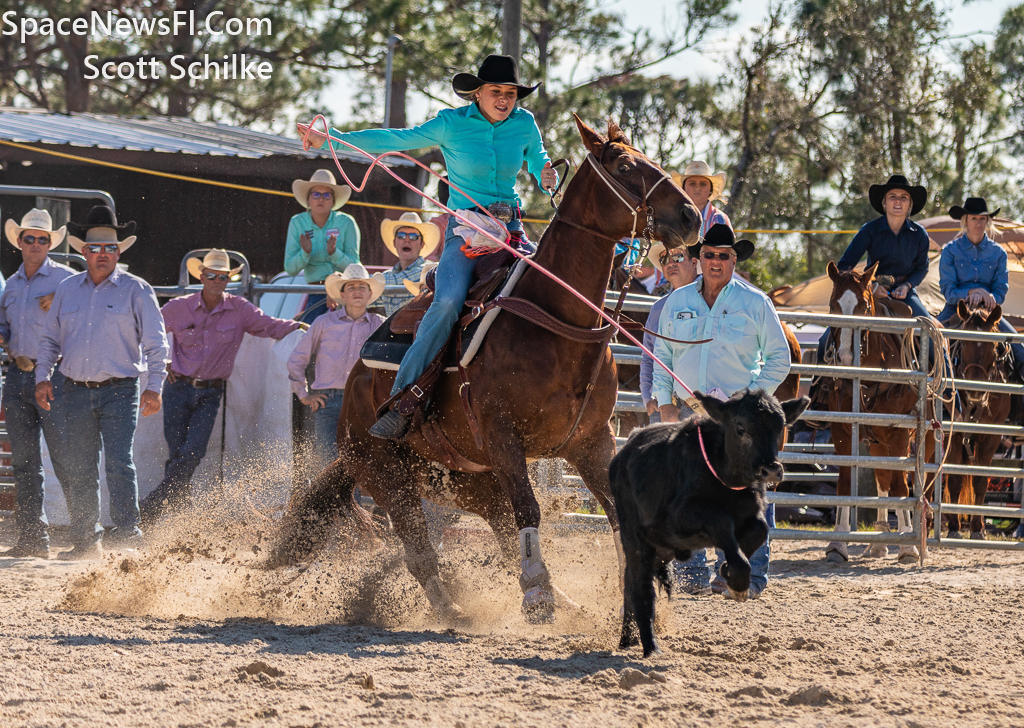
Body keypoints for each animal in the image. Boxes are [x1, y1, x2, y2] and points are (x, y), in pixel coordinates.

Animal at [270, 118, 704, 622]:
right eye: (625, 166)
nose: (691, 217)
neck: (557, 321)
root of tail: (355, 386)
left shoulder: (591, 442)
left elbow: (615, 512)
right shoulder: (503, 436)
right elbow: (531, 510)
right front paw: (536, 598)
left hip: (470, 481)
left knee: (499, 536)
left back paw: (567, 603)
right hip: (388, 475)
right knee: (420, 551)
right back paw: (455, 611)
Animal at [606, 391, 806, 659]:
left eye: (780, 427)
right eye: (740, 428)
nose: (771, 470)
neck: (725, 478)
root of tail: (623, 454)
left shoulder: (751, 513)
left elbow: (759, 530)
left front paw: (727, 569)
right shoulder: (679, 518)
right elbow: (719, 520)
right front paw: (737, 579)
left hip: (661, 550)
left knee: (629, 584)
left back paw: (627, 639)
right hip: (636, 539)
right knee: (641, 590)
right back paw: (651, 648)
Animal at [823, 262, 921, 565]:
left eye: (865, 306)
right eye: (832, 305)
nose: (844, 357)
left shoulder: (900, 434)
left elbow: (902, 488)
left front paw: (908, 547)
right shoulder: (842, 431)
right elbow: (845, 486)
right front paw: (837, 544)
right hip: (877, 441)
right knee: (882, 478)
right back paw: (879, 542)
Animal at [937, 301, 1011, 540]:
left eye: (995, 347)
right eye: (963, 342)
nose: (975, 392)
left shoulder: (991, 437)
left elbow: (980, 479)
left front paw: (978, 528)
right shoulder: (954, 434)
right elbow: (954, 480)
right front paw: (953, 527)